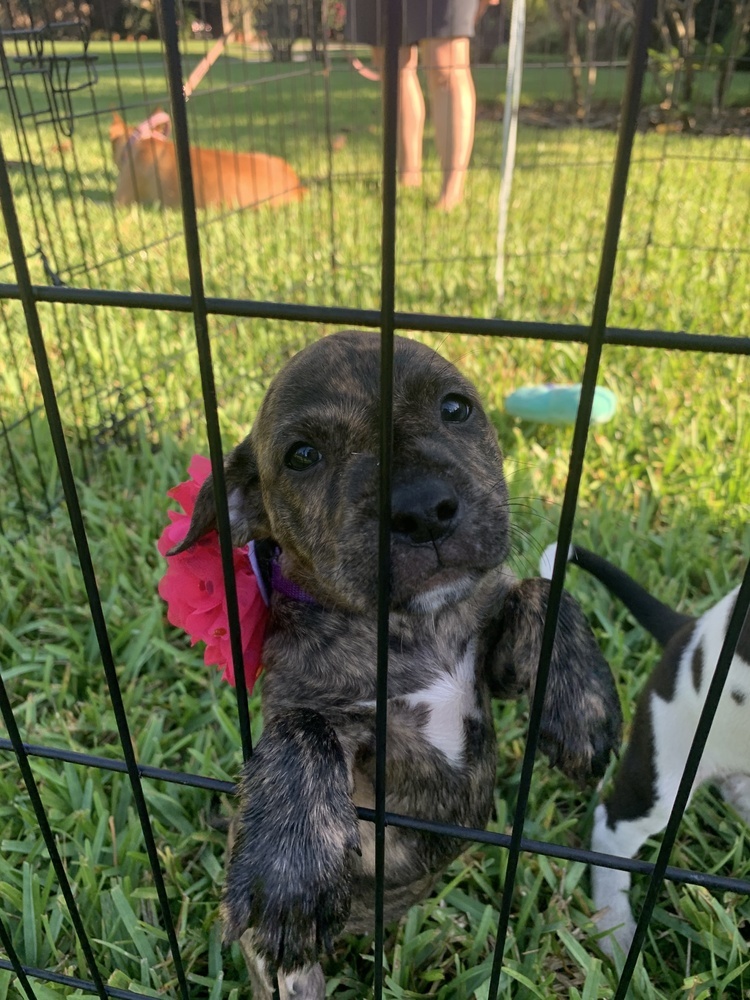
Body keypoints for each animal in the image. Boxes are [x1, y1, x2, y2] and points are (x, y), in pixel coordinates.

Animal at [171, 332, 622, 998]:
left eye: (456, 408)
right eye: (303, 455)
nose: (424, 509)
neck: (412, 628)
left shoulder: (490, 664)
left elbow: (540, 590)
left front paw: (585, 708)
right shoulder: (344, 739)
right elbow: (302, 726)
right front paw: (288, 872)